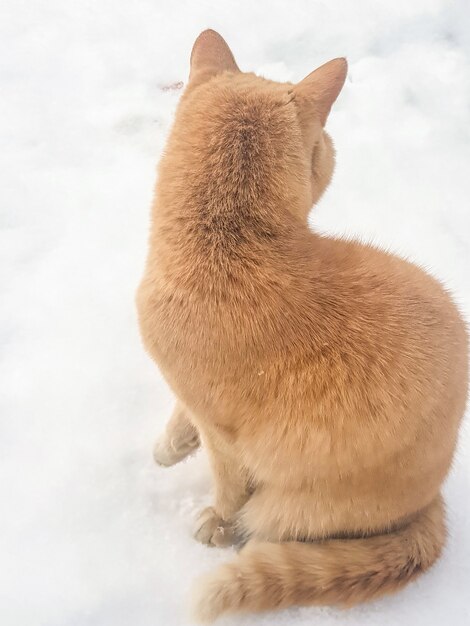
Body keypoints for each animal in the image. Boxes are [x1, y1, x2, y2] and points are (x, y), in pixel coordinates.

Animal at [136, 28, 466, 620]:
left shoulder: (224, 438)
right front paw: (170, 446)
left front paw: (213, 521)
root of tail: (431, 500)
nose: (332, 149)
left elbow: (226, 489)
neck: (232, 245)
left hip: (283, 508)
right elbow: (180, 416)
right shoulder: (189, 393)